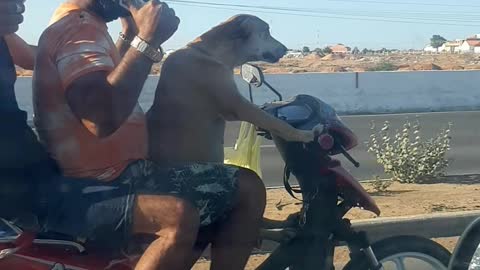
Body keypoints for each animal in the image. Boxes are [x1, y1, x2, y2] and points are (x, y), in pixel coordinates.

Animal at [150, 14, 314, 167]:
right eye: (266, 32)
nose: (285, 49)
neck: (211, 53)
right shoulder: (239, 106)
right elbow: (278, 123)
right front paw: (303, 134)